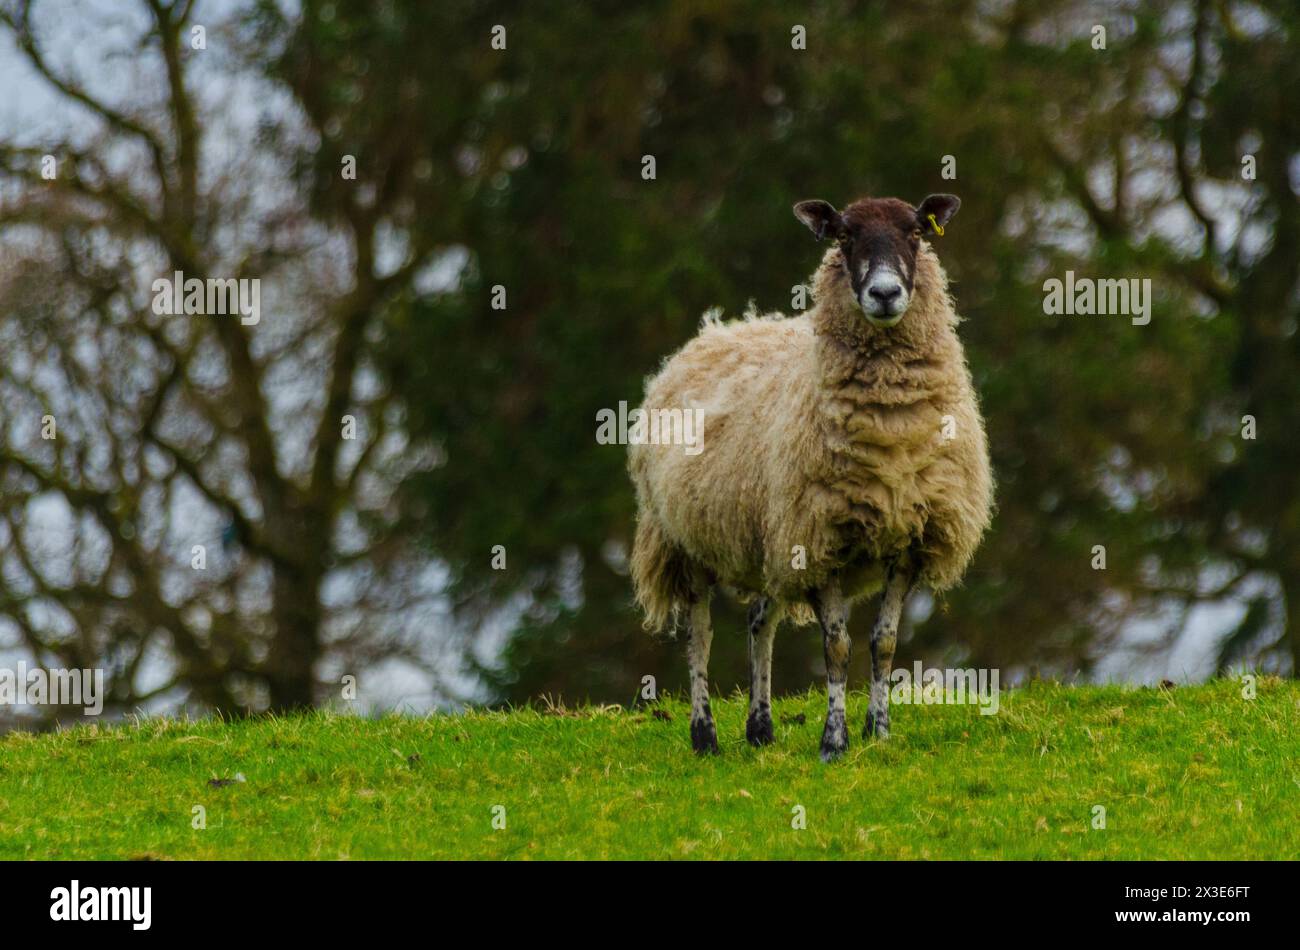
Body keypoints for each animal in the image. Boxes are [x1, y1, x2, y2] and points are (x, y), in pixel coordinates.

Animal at [628, 193, 993, 761]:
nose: (884, 293)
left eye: (915, 232)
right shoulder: (819, 543)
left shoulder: (908, 542)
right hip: (685, 541)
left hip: (770, 541)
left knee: (759, 622)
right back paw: (704, 735)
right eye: (843, 236)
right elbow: (837, 647)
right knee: (699, 634)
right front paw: (834, 741)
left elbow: (883, 644)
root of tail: (720, 329)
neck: (890, 431)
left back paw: (760, 728)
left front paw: (878, 733)